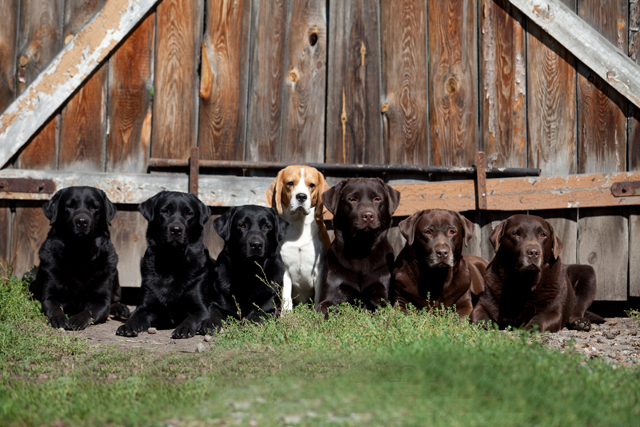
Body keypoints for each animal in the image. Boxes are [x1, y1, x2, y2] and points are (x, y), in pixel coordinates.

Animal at [32, 186, 129, 332]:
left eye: (94, 207)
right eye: (69, 206)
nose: (82, 221)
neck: (80, 255)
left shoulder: (100, 300)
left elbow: (90, 310)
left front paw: (77, 319)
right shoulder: (50, 295)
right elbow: (54, 308)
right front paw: (58, 318)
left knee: (114, 300)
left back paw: (120, 308)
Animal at [116, 192, 211, 340]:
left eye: (189, 213)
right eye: (165, 211)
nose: (176, 230)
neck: (171, 261)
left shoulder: (201, 309)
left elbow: (191, 318)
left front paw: (184, 328)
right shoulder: (144, 307)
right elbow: (135, 316)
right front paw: (128, 325)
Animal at [318, 176, 402, 314]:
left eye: (377, 199)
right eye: (352, 199)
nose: (368, 216)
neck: (361, 249)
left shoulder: (381, 297)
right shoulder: (329, 297)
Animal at [472, 216, 604, 332]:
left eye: (543, 234)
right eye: (516, 234)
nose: (534, 252)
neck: (522, 282)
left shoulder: (553, 312)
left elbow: (540, 318)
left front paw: (530, 328)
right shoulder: (482, 305)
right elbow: (479, 315)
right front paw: (485, 325)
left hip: (588, 274)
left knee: (578, 308)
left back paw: (580, 322)